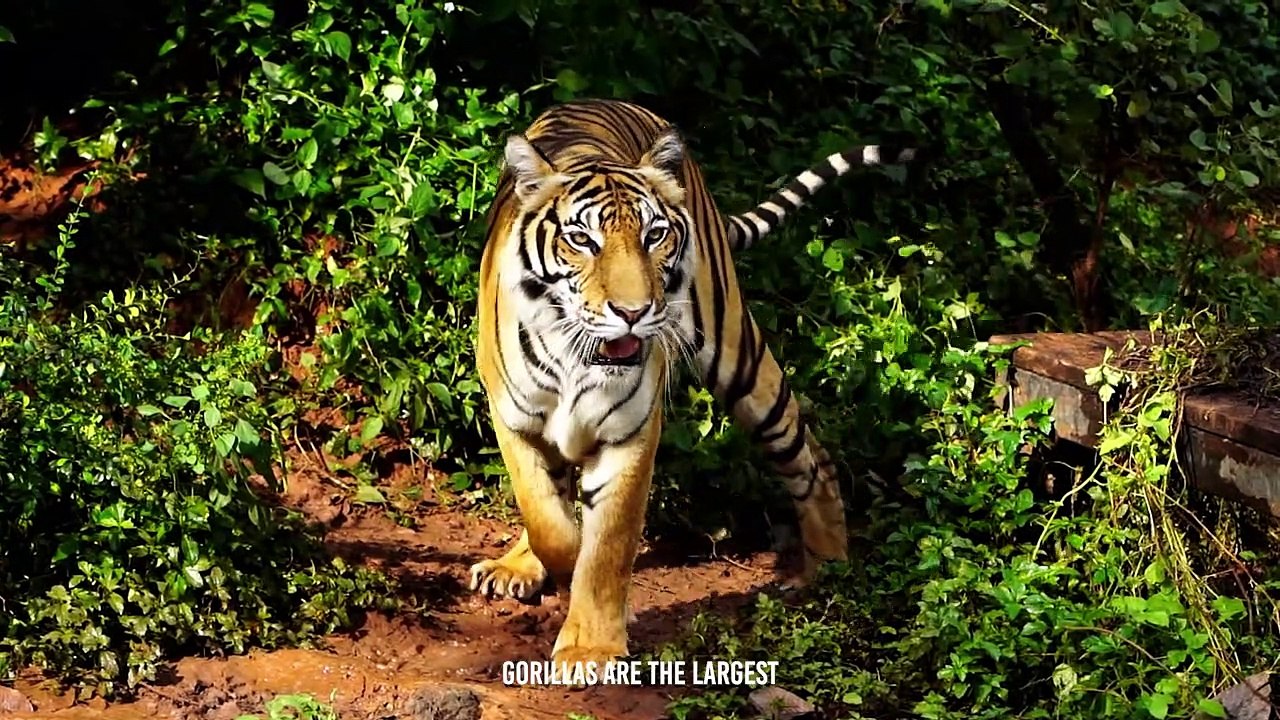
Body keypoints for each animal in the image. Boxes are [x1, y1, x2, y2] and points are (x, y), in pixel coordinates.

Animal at [470, 98, 916, 673]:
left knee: (810, 456)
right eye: (581, 240)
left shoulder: (632, 432)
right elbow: (546, 516)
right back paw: (517, 566)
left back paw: (831, 571)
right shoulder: (514, 418)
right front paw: (555, 561)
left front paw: (592, 645)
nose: (633, 312)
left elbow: (607, 545)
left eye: (653, 236)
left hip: (737, 353)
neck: (576, 357)